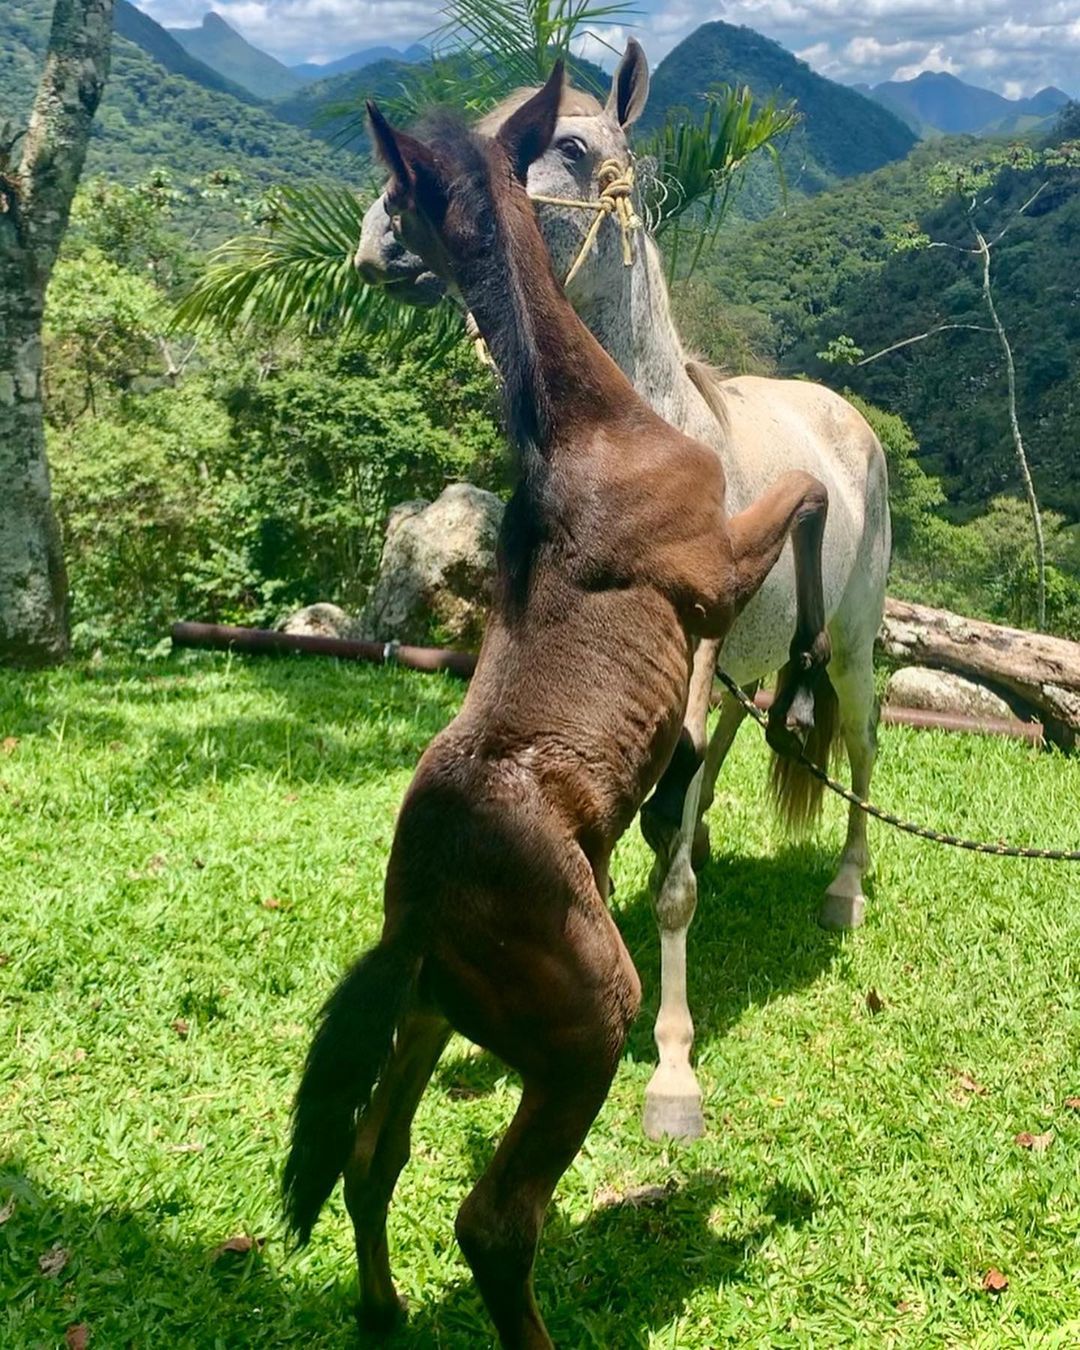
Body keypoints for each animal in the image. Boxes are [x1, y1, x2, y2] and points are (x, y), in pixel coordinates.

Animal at [285, 67, 836, 1348]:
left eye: (564, 144)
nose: (377, 251)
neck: (590, 431)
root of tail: (420, 919)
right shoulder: (714, 569)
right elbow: (809, 495)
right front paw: (799, 686)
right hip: (584, 1022)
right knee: (492, 1219)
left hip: (433, 1016)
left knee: (373, 1154)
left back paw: (381, 1310)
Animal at [355, 40, 891, 1142]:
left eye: (564, 143)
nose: (378, 233)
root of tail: (848, 418)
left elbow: (676, 883)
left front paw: (674, 1069)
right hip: (738, 666)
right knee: (727, 744)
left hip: (856, 648)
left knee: (859, 748)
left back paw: (844, 890)